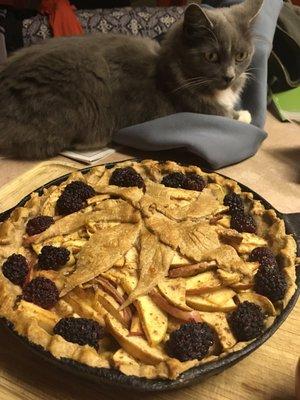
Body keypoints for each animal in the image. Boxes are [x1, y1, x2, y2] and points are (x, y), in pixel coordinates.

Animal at [0, 0, 262, 159]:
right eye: (211, 56)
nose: (229, 76)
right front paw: (244, 115)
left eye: (241, 56)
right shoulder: (198, 108)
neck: (170, 70)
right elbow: (230, 117)